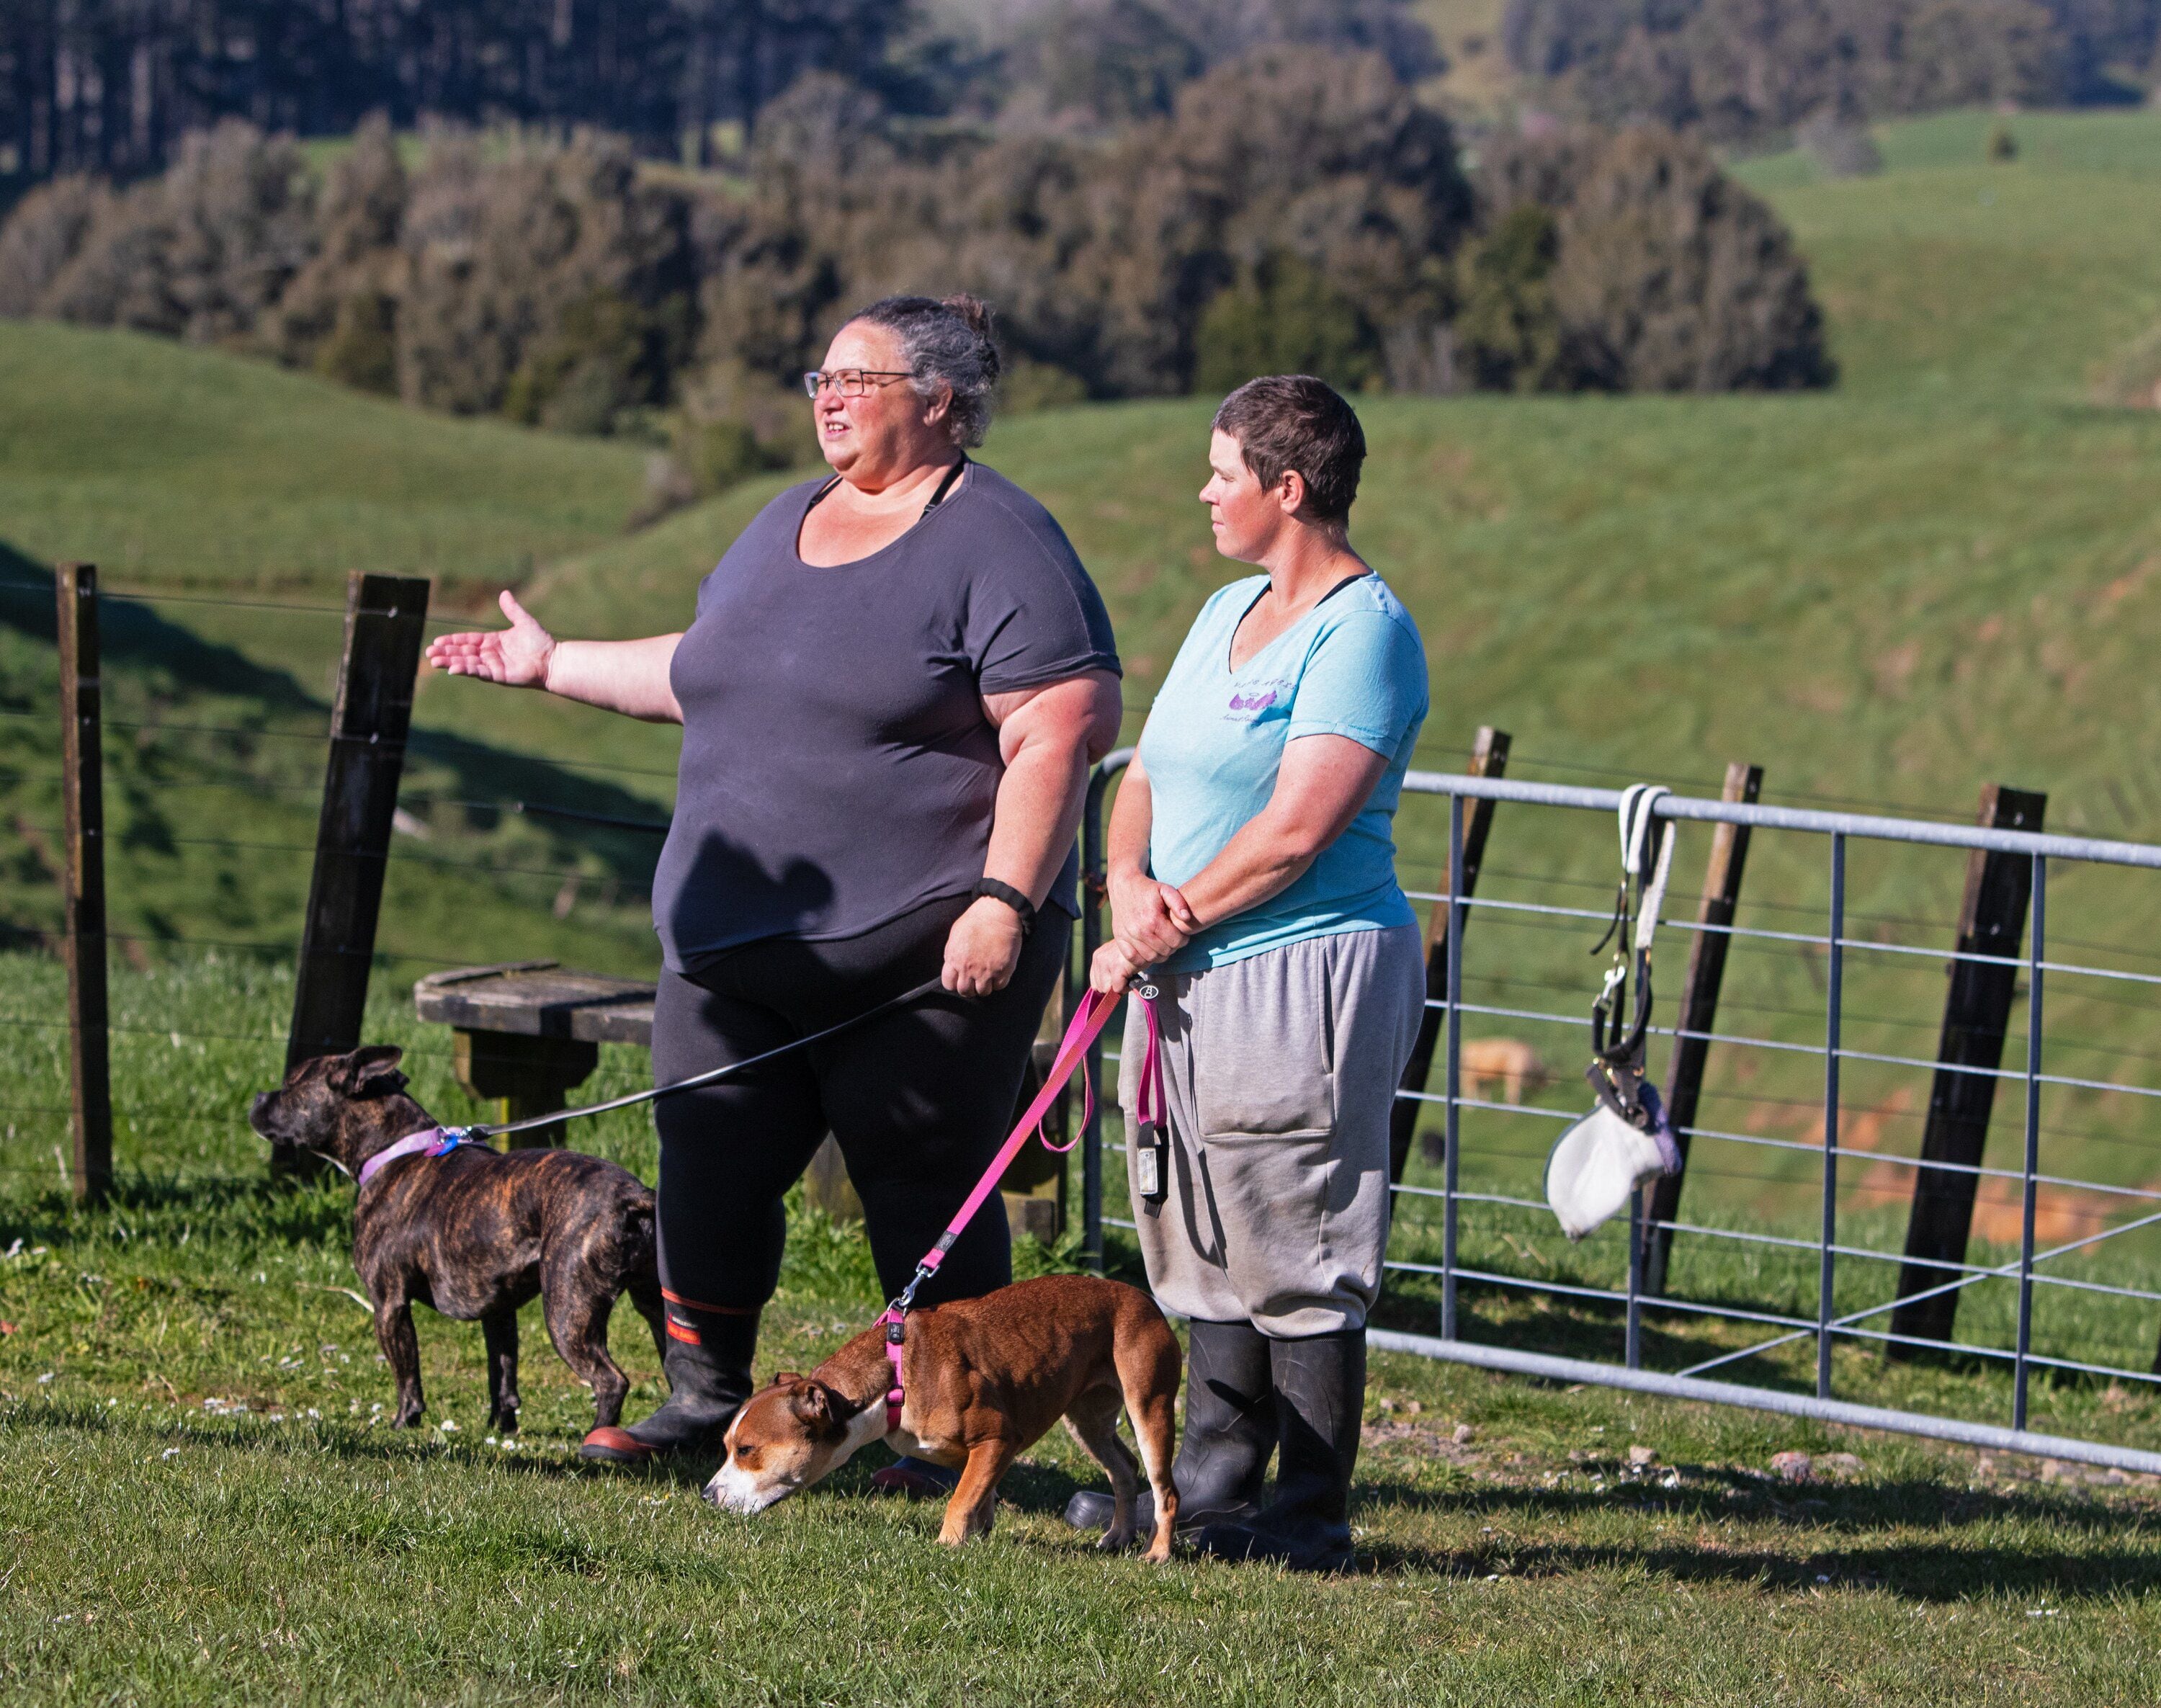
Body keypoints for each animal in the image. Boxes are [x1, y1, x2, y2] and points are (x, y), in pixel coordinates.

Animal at [709, 1279, 1184, 1556]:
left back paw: (1157, 1554)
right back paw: (1120, 1536)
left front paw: (949, 1545)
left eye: (747, 1450)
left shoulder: (997, 1439)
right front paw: (978, 1538)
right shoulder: (973, 1456)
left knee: (1165, 1490)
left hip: (1149, 1408)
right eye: (727, 1447)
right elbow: (978, 1495)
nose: (707, 1496)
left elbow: (960, 1500)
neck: (895, 1379)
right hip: (1088, 1421)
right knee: (1123, 1469)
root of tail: (1145, 1299)